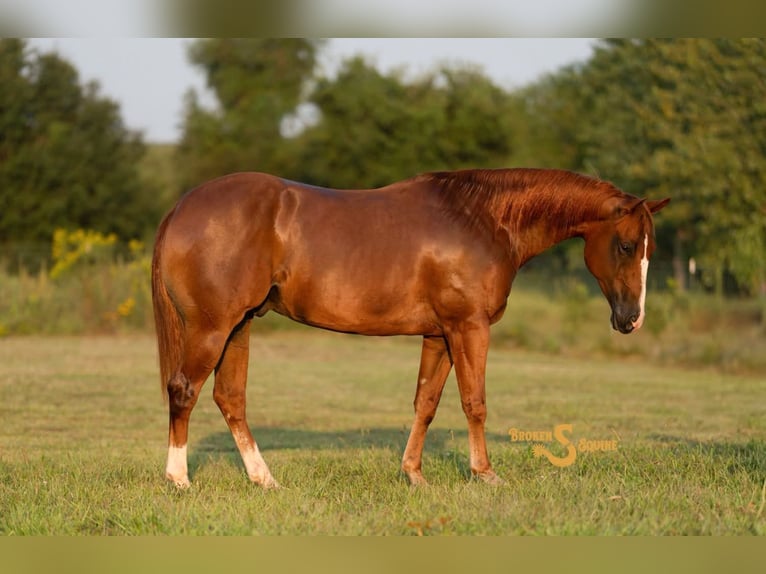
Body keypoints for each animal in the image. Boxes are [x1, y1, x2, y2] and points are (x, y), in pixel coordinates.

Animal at [151, 168, 669, 488]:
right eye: (626, 246)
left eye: (651, 249)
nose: (631, 319)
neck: (483, 220)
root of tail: (181, 208)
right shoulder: (468, 328)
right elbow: (474, 402)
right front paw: (485, 474)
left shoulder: (439, 334)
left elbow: (426, 403)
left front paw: (414, 474)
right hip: (212, 328)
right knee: (184, 390)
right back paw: (179, 479)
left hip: (238, 328)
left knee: (230, 400)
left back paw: (265, 479)